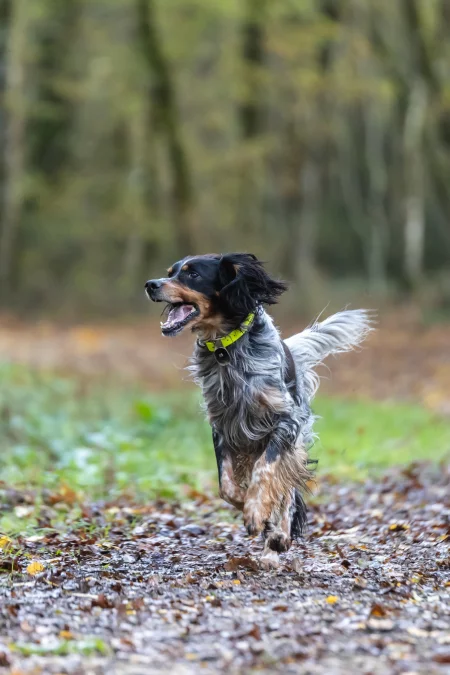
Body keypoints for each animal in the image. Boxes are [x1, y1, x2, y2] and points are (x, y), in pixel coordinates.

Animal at [145, 251, 372, 568]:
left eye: (192, 274)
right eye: (170, 273)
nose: (151, 284)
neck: (226, 349)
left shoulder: (285, 422)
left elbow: (267, 473)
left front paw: (255, 512)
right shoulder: (222, 426)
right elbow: (227, 486)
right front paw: (248, 505)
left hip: (293, 442)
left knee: (287, 492)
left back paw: (278, 538)